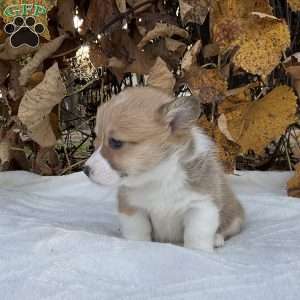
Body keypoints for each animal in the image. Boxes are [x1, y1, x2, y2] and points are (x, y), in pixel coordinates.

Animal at [84, 86, 244, 251]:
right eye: (97, 140)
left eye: (116, 142)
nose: (85, 170)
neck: (158, 177)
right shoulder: (132, 207)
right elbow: (138, 232)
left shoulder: (201, 206)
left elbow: (196, 236)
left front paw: (199, 251)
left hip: (235, 218)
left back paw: (217, 239)